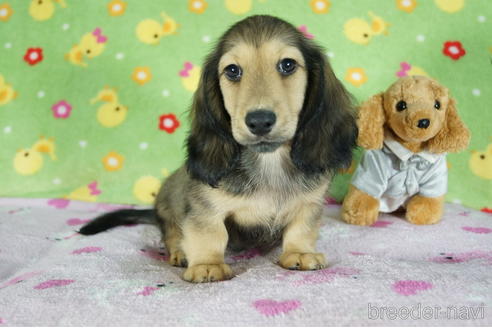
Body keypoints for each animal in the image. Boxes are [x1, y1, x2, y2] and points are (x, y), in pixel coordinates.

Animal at [80, 14, 358, 282]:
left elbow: (302, 229)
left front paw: (299, 252)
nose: (259, 121)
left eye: (287, 65)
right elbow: (210, 234)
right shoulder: (206, 208)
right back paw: (180, 251)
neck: (268, 162)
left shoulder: (309, 204)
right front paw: (207, 264)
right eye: (232, 70)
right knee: (171, 232)